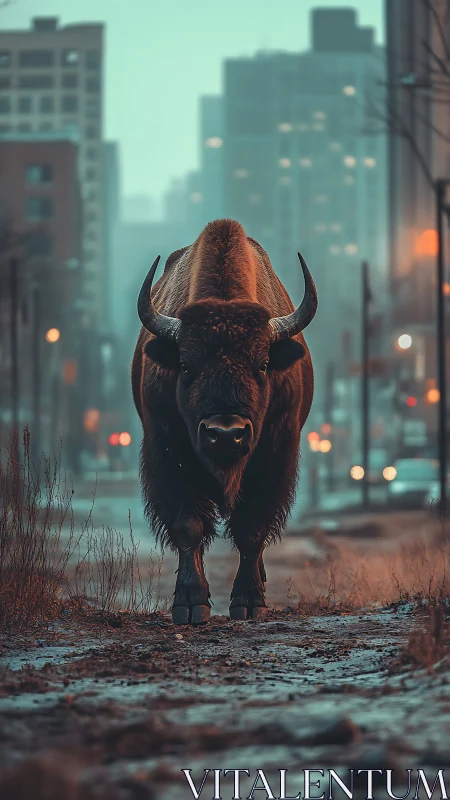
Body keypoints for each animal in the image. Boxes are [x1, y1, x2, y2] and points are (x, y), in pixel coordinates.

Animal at [132, 219, 317, 625]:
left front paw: (249, 602)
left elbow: (252, 529)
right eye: (186, 365)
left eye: (262, 365)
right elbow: (189, 526)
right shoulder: (167, 450)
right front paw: (191, 604)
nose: (226, 435)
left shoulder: (275, 454)